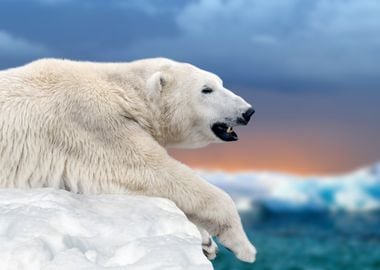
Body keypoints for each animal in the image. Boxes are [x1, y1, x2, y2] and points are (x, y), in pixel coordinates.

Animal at [0, 58, 256, 262]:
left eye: (220, 82)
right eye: (206, 89)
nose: (248, 111)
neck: (121, 91)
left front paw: (207, 242)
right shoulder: (93, 124)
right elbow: (152, 171)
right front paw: (244, 246)